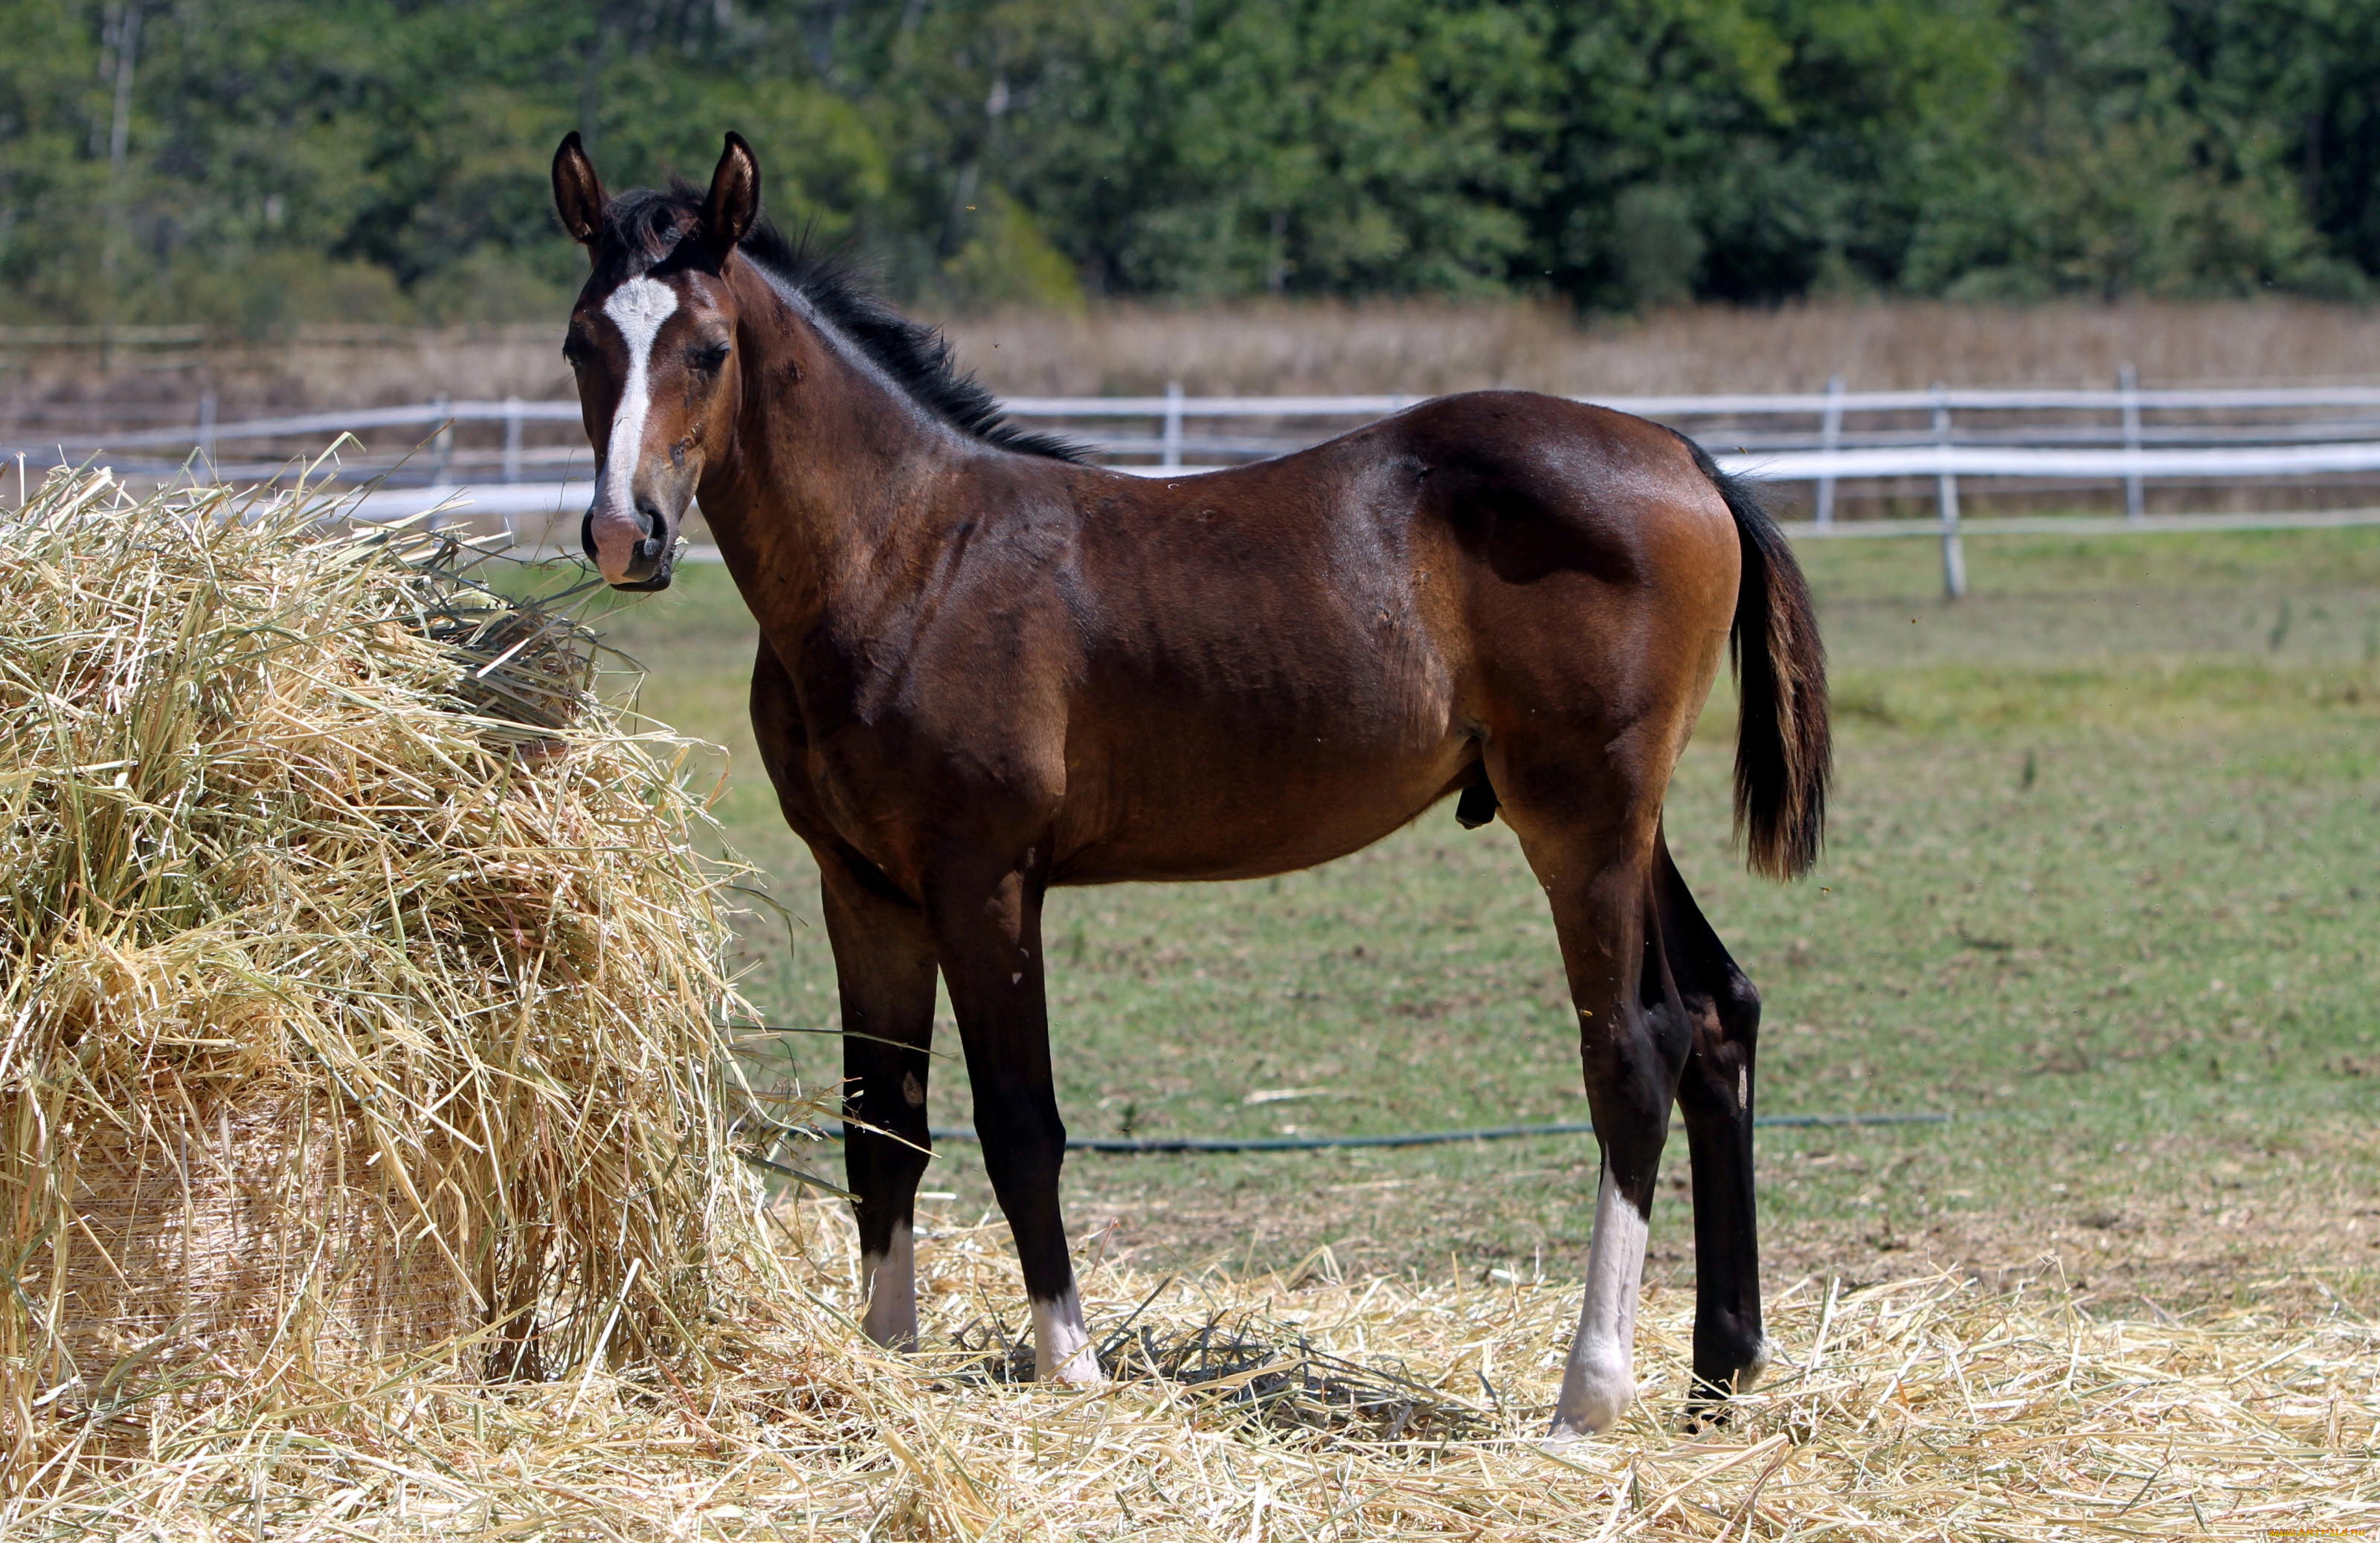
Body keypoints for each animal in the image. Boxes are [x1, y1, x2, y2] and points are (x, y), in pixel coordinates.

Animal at [552, 126, 1818, 1438]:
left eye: (708, 347)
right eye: (583, 343)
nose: (626, 534)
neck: (910, 552)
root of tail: (1688, 458)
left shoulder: (987, 876)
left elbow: (1018, 1119)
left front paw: (1070, 1366)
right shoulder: (864, 887)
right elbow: (881, 1123)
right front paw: (883, 1356)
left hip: (1581, 822)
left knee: (1633, 1049)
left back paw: (1591, 1390)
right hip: (1627, 823)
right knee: (1717, 1015)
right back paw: (1720, 1368)